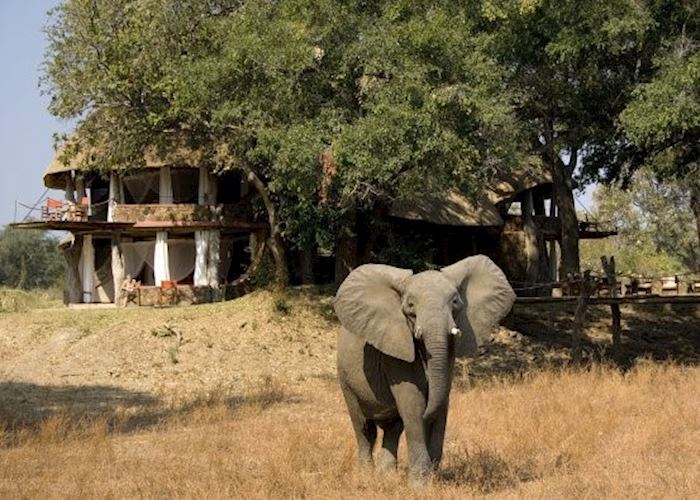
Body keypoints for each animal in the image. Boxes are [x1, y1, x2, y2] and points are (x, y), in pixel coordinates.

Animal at [334, 256, 516, 482]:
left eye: (455, 302)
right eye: (410, 306)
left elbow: (442, 404)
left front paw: (433, 479)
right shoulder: (396, 349)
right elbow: (413, 404)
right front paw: (420, 483)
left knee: (393, 428)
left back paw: (387, 476)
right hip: (345, 377)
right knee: (364, 428)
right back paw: (367, 475)